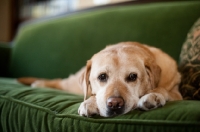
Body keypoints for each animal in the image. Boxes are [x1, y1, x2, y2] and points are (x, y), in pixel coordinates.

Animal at [18, 41, 182, 117]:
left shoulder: (177, 93)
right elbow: (93, 95)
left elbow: (163, 89)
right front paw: (89, 103)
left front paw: (154, 95)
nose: (115, 104)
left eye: (132, 77)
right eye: (102, 76)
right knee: (60, 82)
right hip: (73, 84)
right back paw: (39, 83)